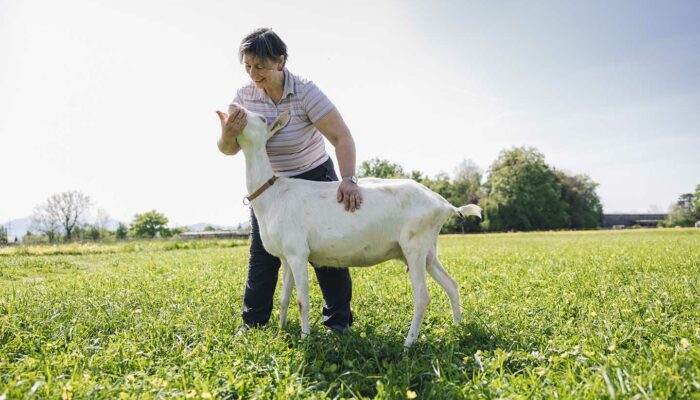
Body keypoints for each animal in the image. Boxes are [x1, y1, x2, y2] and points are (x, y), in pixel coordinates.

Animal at [235, 109, 482, 346]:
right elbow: (284, 298)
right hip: (428, 251)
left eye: (261, 118)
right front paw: (281, 333)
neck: (273, 194)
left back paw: (408, 344)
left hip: (415, 246)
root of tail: (444, 204)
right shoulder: (286, 256)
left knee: (422, 296)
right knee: (451, 284)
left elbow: (302, 300)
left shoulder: (298, 253)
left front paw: (305, 340)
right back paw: (458, 328)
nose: (234, 110)